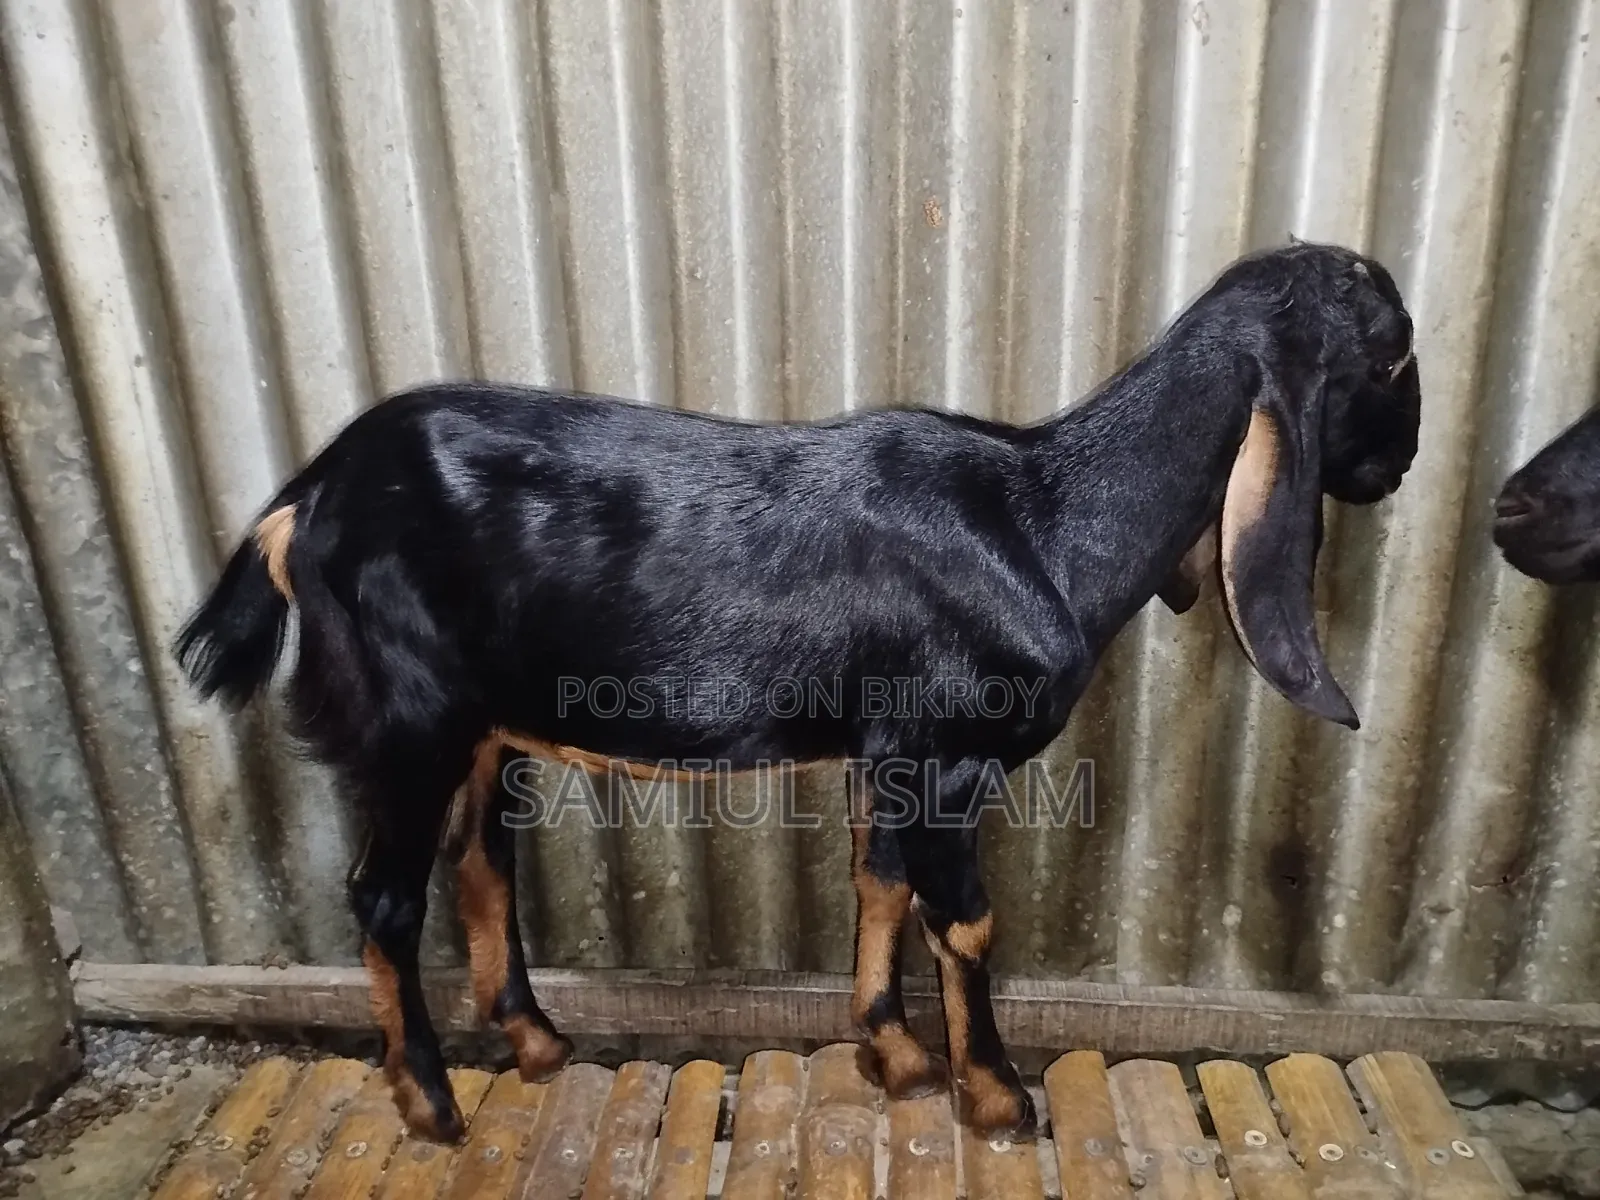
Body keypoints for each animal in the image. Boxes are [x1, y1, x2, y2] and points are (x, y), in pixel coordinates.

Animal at [175, 242, 1420, 1143]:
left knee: (483, 864)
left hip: (484, 726)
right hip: (411, 718)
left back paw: (534, 1044)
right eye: (1394, 359)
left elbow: (877, 884)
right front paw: (998, 1099)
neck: (1048, 521)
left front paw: (894, 1054)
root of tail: (305, 499)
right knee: (385, 897)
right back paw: (431, 1105)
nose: (1399, 468)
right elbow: (962, 916)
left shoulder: (891, 751)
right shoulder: (948, 755)